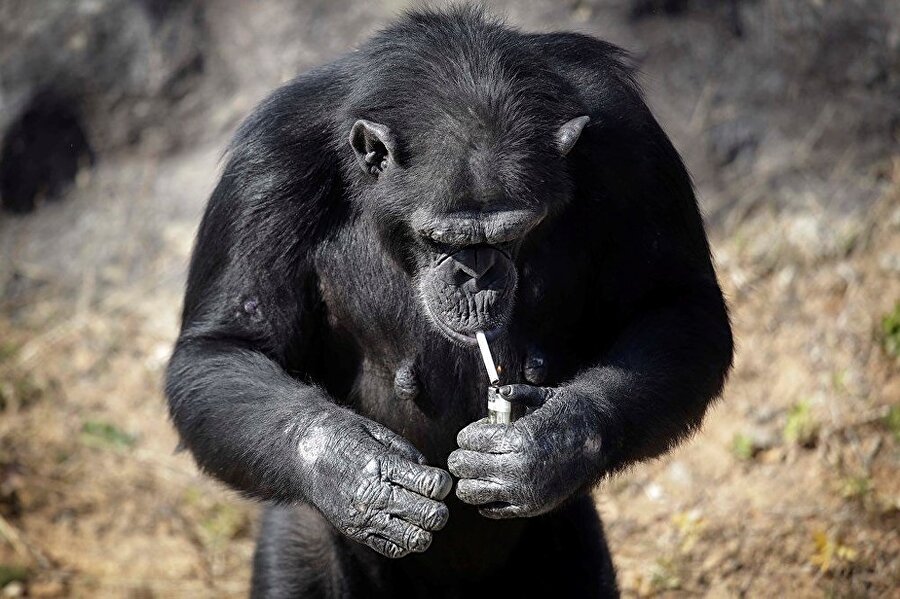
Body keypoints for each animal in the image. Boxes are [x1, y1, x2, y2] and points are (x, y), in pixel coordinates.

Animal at [165, 5, 736, 599]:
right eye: (439, 239)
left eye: (513, 233)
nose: (475, 275)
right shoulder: (267, 166)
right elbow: (226, 344)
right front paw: (356, 472)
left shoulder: (633, 144)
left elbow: (675, 304)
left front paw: (545, 446)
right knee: (302, 540)